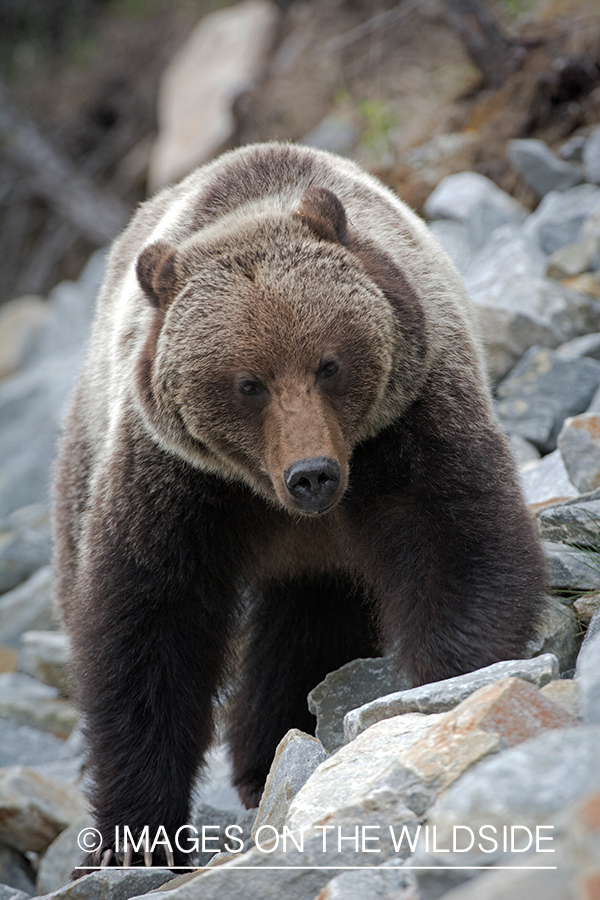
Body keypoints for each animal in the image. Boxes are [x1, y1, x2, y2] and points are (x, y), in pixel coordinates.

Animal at [53, 141, 546, 871]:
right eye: (247, 383)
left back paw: (268, 754)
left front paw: (448, 687)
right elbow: (148, 624)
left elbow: (458, 539)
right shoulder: (174, 481)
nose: (311, 474)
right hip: (82, 473)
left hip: (321, 563)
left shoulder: (411, 414)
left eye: (328, 364)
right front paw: (132, 833)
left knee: (308, 635)